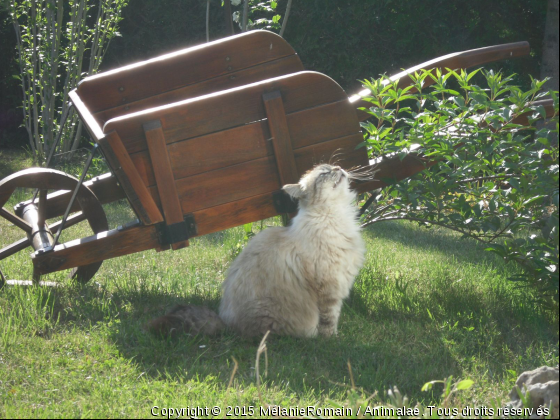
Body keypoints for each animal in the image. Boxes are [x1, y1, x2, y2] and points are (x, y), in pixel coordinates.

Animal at [149, 163, 366, 338]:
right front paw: (332, 340)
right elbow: (329, 321)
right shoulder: (329, 287)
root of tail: (227, 324)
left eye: (333, 166)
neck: (336, 216)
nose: (338, 168)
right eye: (324, 173)